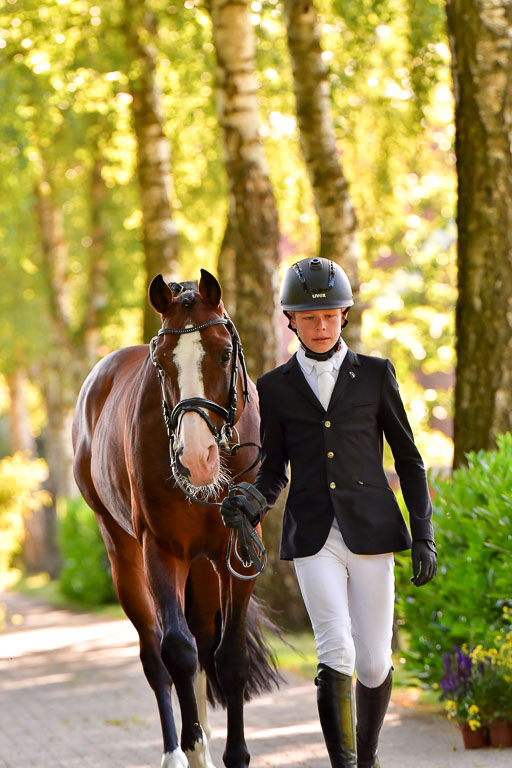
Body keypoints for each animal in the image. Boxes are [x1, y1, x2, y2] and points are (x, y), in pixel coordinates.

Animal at [72, 270, 279, 768]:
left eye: (224, 353)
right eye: (163, 366)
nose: (196, 459)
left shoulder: (236, 552)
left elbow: (229, 656)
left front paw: (235, 754)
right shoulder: (161, 550)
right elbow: (178, 653)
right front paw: (194, 746)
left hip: (202, 566)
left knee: (205, 640)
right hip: (123, 554)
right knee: (156, 654)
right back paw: (175, 750)